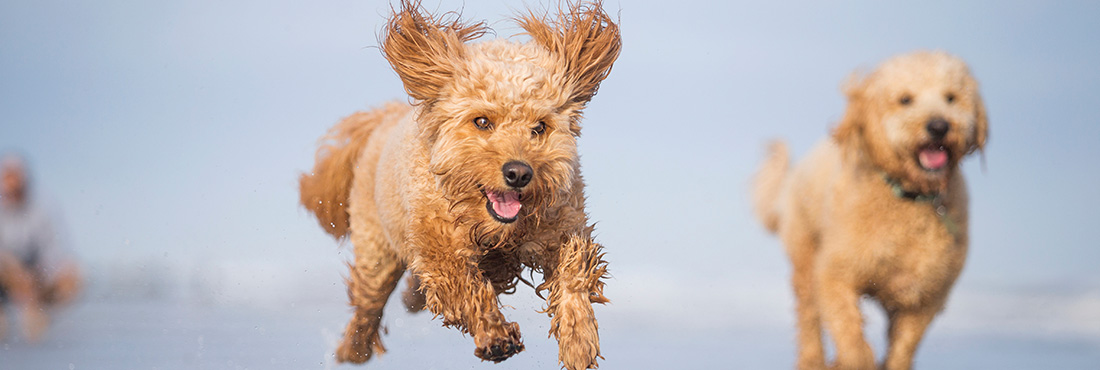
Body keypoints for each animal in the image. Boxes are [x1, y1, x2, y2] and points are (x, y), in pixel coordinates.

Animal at [299, 1, 620, 367]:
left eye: (539, 127)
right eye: (482, 121)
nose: (519, 173)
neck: (497, 231)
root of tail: (385, 118)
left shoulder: (562, 227)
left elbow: (573, 274)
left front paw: (579, 339)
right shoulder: (440, 247)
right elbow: (465, 288)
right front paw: (495, 336)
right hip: (377, 249)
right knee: (368, 304)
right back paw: (353, 349)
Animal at [752, 50, 994, 367]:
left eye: (951, 98)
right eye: (905, 99)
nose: (939, 126)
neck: (908, 196)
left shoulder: (924, 296)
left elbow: (902, 347)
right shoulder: (835, 275)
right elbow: (852, 340)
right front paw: (850, 361)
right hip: (804, 255)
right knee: (809, 316)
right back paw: (813, 360)